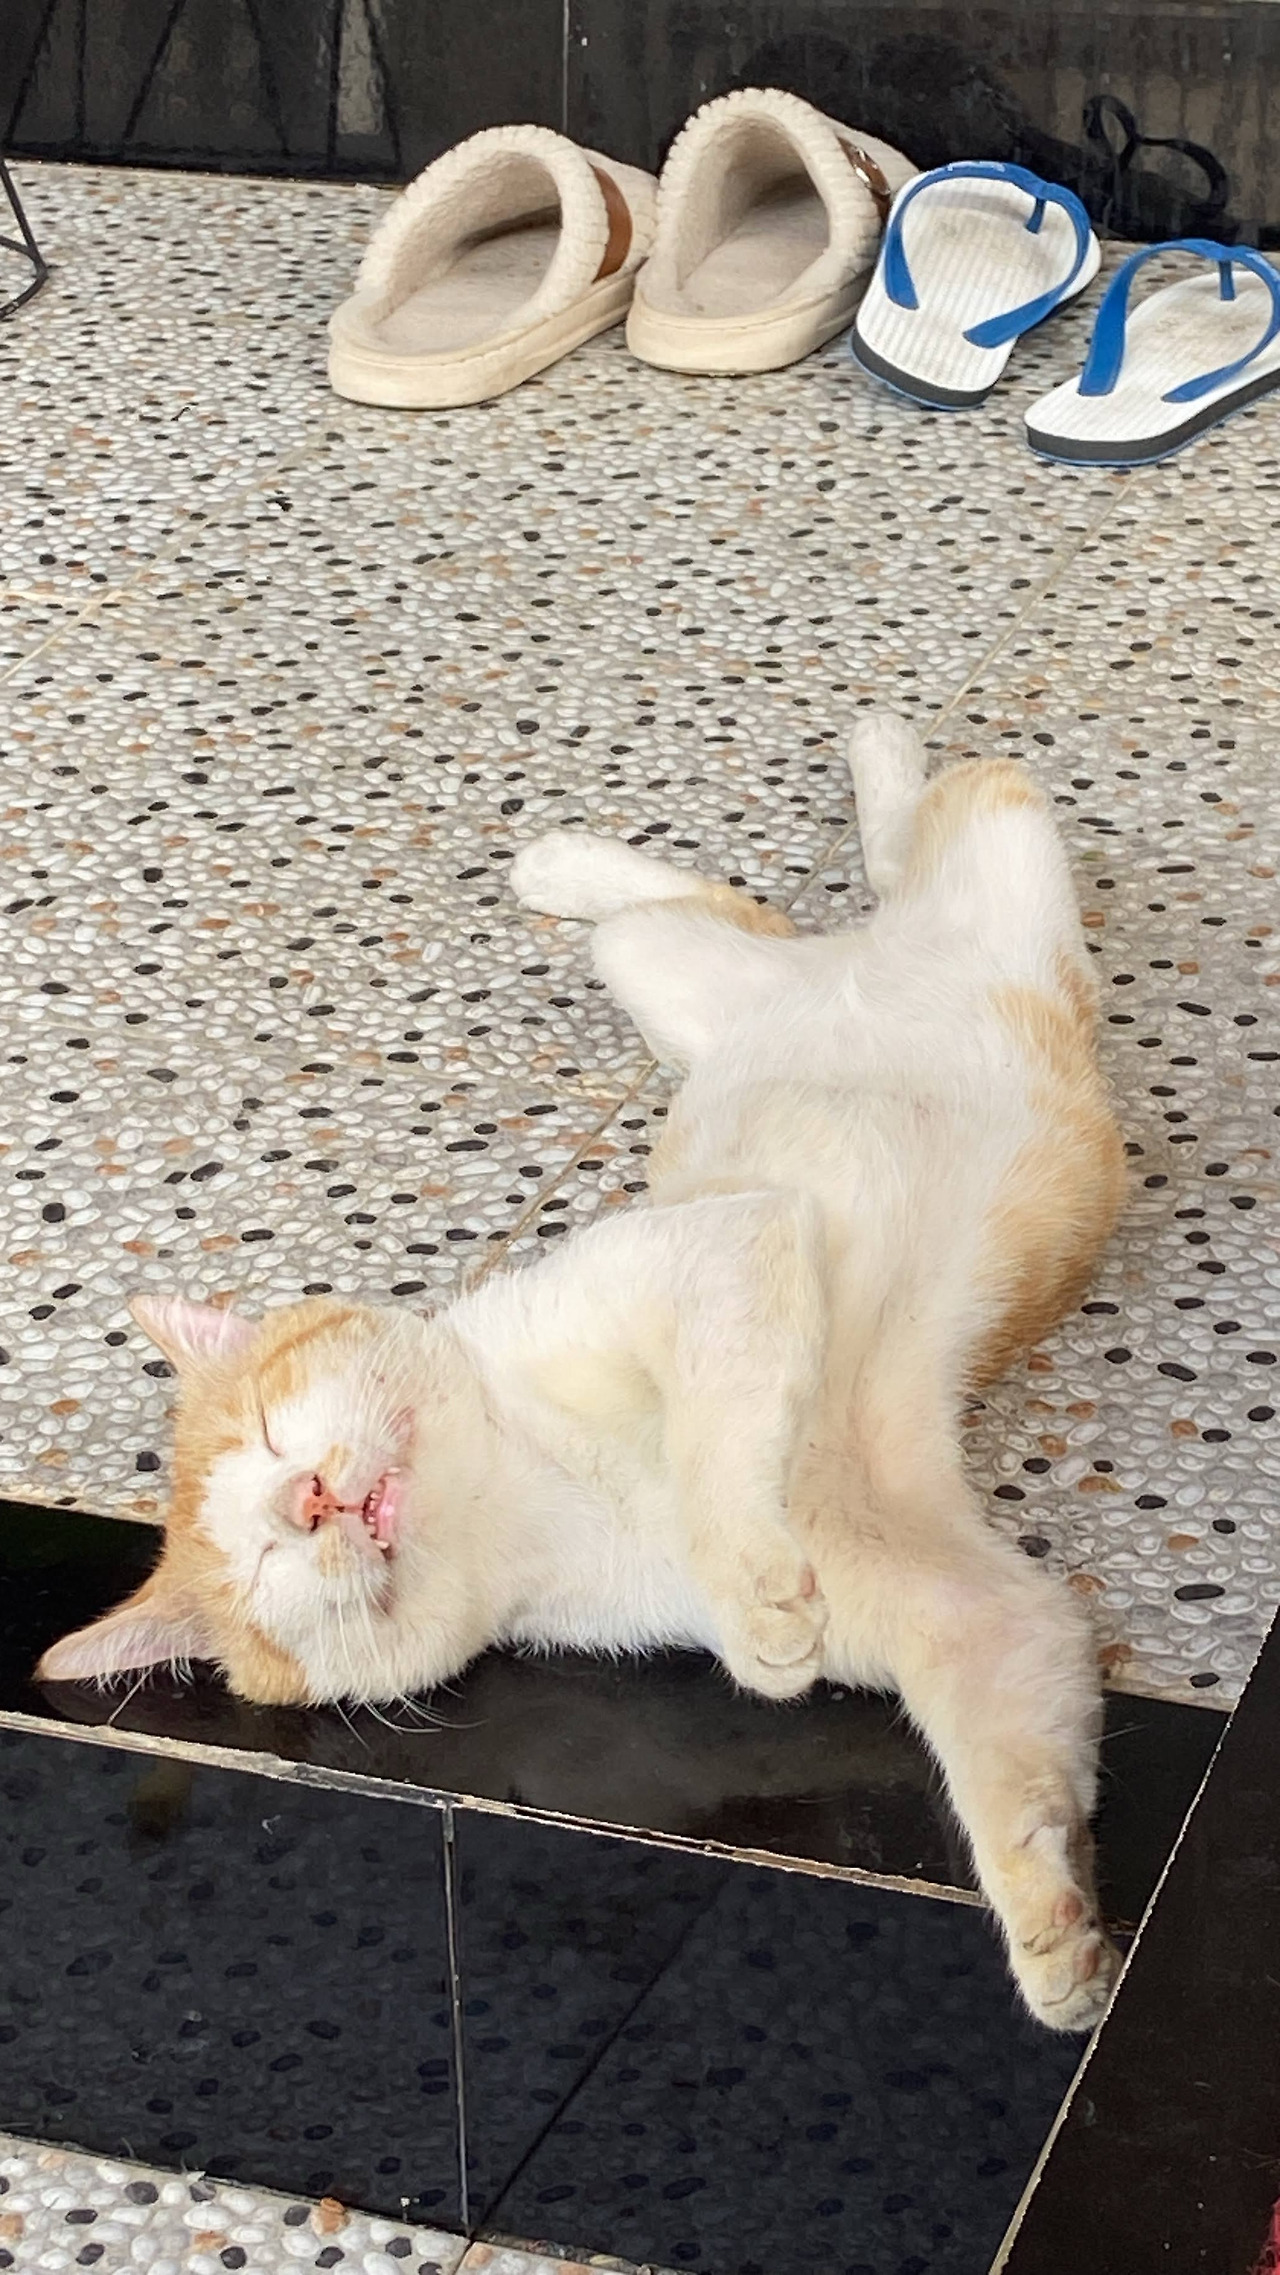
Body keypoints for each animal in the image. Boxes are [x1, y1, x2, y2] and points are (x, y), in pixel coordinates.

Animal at [40, 712, 1126, 2031]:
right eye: (258, 1564)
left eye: (266, 1432)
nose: (309, 1498)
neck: (533, 1488)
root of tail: (852, 968)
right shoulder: (958, 1605)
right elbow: (1006, 1731)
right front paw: (1057, 1943)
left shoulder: (724, 1243)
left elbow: (718, 1443)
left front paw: (756, 1595)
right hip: (664, 966)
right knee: (730, 910)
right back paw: (580, 864)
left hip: (995, 859)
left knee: (914, 831)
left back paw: (852, 760)